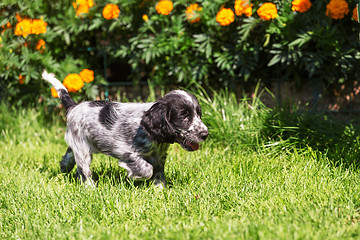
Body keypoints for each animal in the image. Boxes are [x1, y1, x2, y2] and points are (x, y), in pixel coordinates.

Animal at [41, 70, 208, 188]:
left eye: (199, 114)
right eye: (184, 117)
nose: (205, 134)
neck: (152, 135)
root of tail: (74, 107)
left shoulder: (159, 157)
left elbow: (159, 174)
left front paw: (160, 190)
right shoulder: (125, 150)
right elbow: (147, 169)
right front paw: (135, 175)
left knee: (70, 157)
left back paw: (65, 166)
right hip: (82, 149)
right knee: (84, 169)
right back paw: (90, 188)